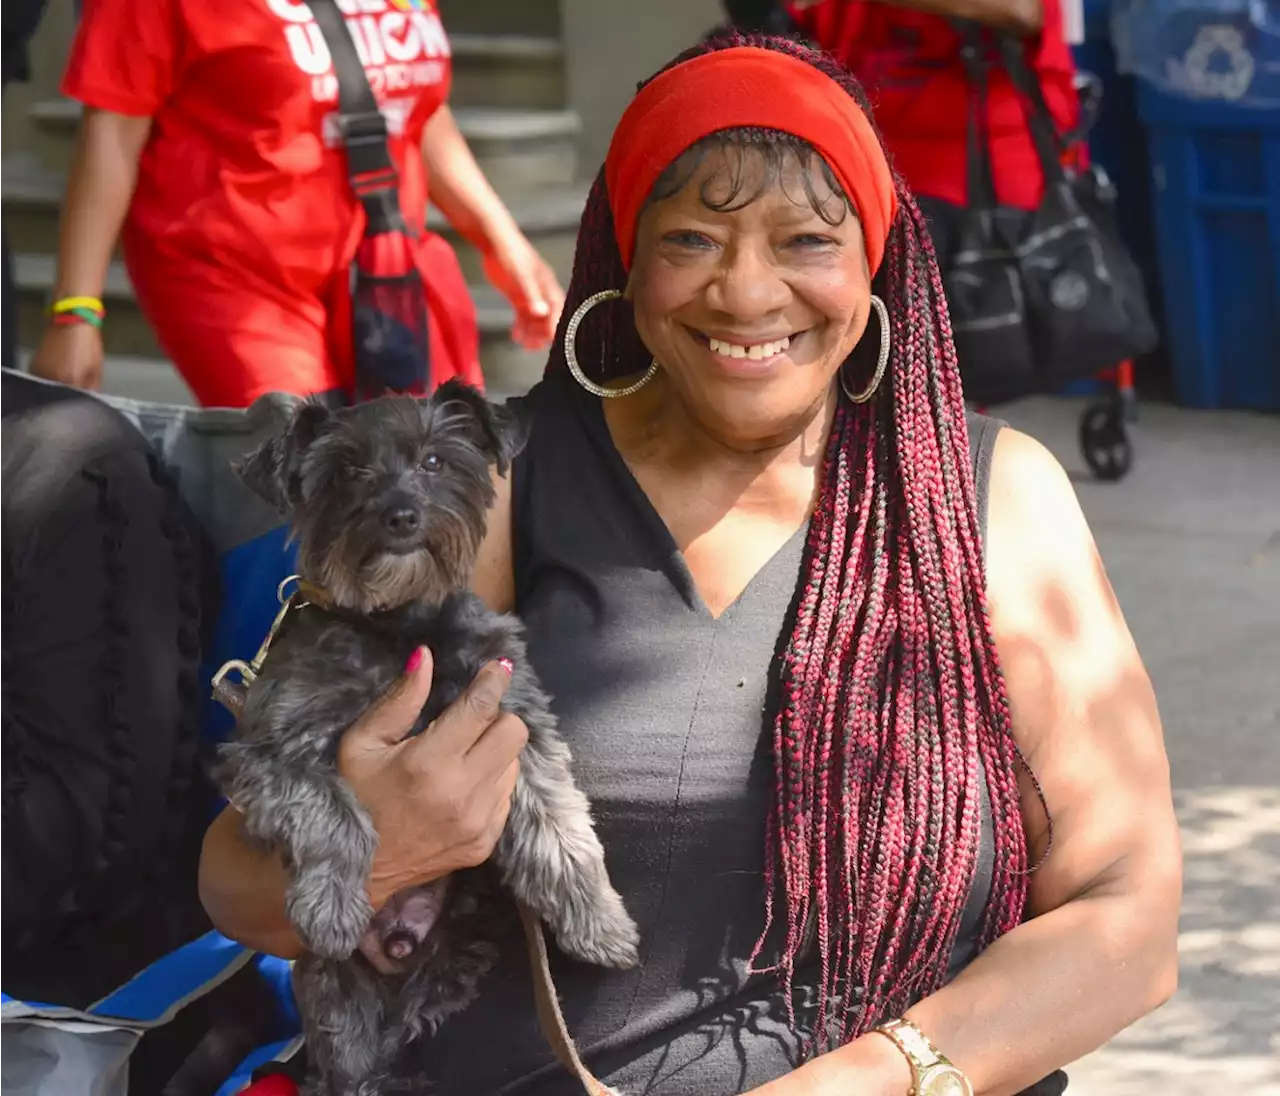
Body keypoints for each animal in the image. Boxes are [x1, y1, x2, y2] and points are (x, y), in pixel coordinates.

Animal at [218, 378, 645, 1096]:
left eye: (435, 461)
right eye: (345, 472)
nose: (400, 516)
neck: (397, 626)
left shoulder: (516, 719)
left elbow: (560, 827)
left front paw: (599, 921)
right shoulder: (266, 753)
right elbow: (335, 810)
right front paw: (331, 901)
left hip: (453, 952)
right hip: (332, 994)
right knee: (351, 1062)